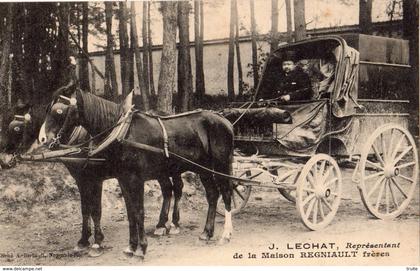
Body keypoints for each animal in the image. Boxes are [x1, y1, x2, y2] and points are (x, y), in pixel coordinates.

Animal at [38, 89, 236, 260]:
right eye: (50, 111)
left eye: (60, 112)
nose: (43, 140)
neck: (121, 133)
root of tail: (224, 121)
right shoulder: (120, 179)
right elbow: (127, 212)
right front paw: (130, 247)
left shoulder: (124, 179)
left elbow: (133, 211)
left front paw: (138, 248)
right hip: (202, 169)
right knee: (210, 195)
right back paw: (205, 233)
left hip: (220, 166)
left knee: (225, 194)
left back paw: (225, 234)